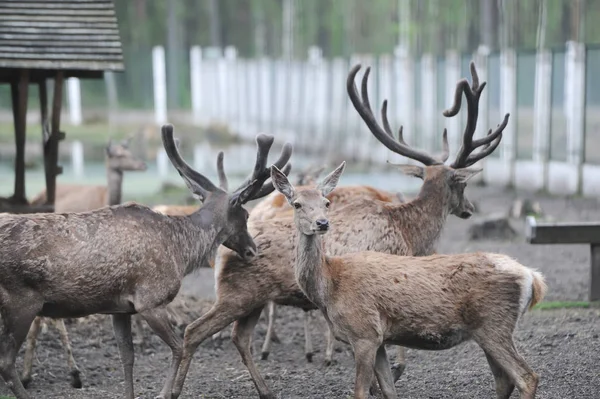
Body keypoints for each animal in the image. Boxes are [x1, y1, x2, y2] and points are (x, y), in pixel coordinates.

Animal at [170, 60, 510, 399]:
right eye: (462, 184)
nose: (469, 209)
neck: (411, 233)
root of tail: (223, 252)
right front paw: (391, 374)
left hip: (253, 300)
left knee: (239, 337)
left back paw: (265, 389)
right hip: (236, 294)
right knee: (194, 331)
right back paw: (175, 389)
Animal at [270, 163, 548, 399]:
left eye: (326, 202)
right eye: (296, 204)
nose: (322, 223)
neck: (329, 288)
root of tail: (532, 277)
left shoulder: (363, 333)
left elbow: (360, 392)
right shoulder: (379, 340)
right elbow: (389, 390)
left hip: (494, 324)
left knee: (527, 377)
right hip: (488, 330)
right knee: (504, 381)